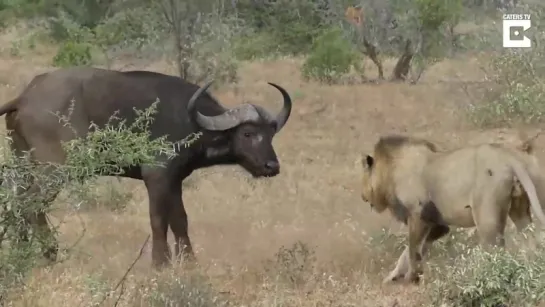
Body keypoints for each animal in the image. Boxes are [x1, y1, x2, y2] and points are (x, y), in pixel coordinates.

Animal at [0, 66, 294, 268]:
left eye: (270, 134)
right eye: (247, 134)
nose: (272, 165)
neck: (192, 121)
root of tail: (25, 97)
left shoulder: (174, 179)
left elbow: (180, 220)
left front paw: (189, 261)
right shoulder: (157, 176)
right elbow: (158, 219)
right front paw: (160, 263)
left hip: (23, 164)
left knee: (18, 202)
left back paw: (22, 252)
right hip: (54, 169)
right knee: (32, 204)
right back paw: (50, 254)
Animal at [360, 134, 544, 286]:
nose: (363, 196)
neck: (390, 171)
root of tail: (508, 157)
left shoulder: (418, 215)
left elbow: (413, 250)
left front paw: (411, 277)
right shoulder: (438, 224)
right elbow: (412, 251)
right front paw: (393, 276)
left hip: (487, 218)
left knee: (496, 250)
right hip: (521, 208)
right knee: (530, 239)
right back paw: (530, 267)